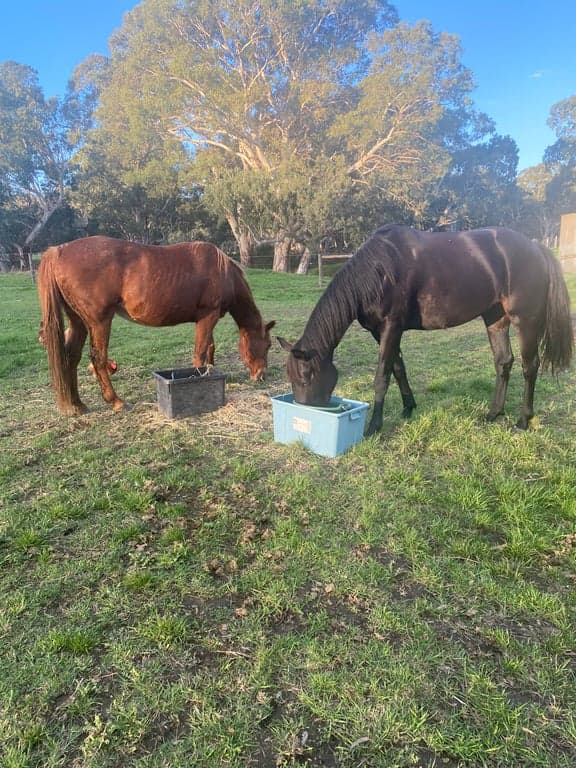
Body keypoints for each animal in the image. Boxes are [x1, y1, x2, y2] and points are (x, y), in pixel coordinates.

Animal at [38, 236, 275, 415]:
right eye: (267, 345)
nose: (261, 375)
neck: (222, 271)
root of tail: (59, 251)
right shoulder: (209, 316)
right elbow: (200, 353)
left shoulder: (208, 319)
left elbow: (209, 348)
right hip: (99, 322)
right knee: (98, 358)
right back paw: (116, 401)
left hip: (78, 322)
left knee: (71, 358)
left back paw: (76, 404)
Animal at [279, 225, 573, 435]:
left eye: (306, 377)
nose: (305, 410)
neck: (378, 271)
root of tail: (535, 247)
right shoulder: (381, 331)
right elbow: (398, 369)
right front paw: (408, 409)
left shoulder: (391, 327)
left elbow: (381, 377)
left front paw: (374, 427)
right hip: (495, 318)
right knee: (503, 362)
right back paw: (493, 413)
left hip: (526, 320)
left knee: (529, 366)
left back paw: (523, 420)